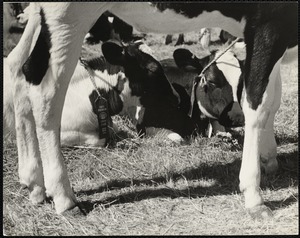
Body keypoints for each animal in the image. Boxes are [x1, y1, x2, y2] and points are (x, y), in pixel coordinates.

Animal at [7, 2, 298, 218]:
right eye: (213, 81)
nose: (233, 119)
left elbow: (272, 99)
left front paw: (269, 158)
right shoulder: (269, 22)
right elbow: (257, 104)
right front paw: (254, 194)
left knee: (18, 70)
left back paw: (34, 182)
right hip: (67, 16)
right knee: (45, 93)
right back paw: (63, 197)